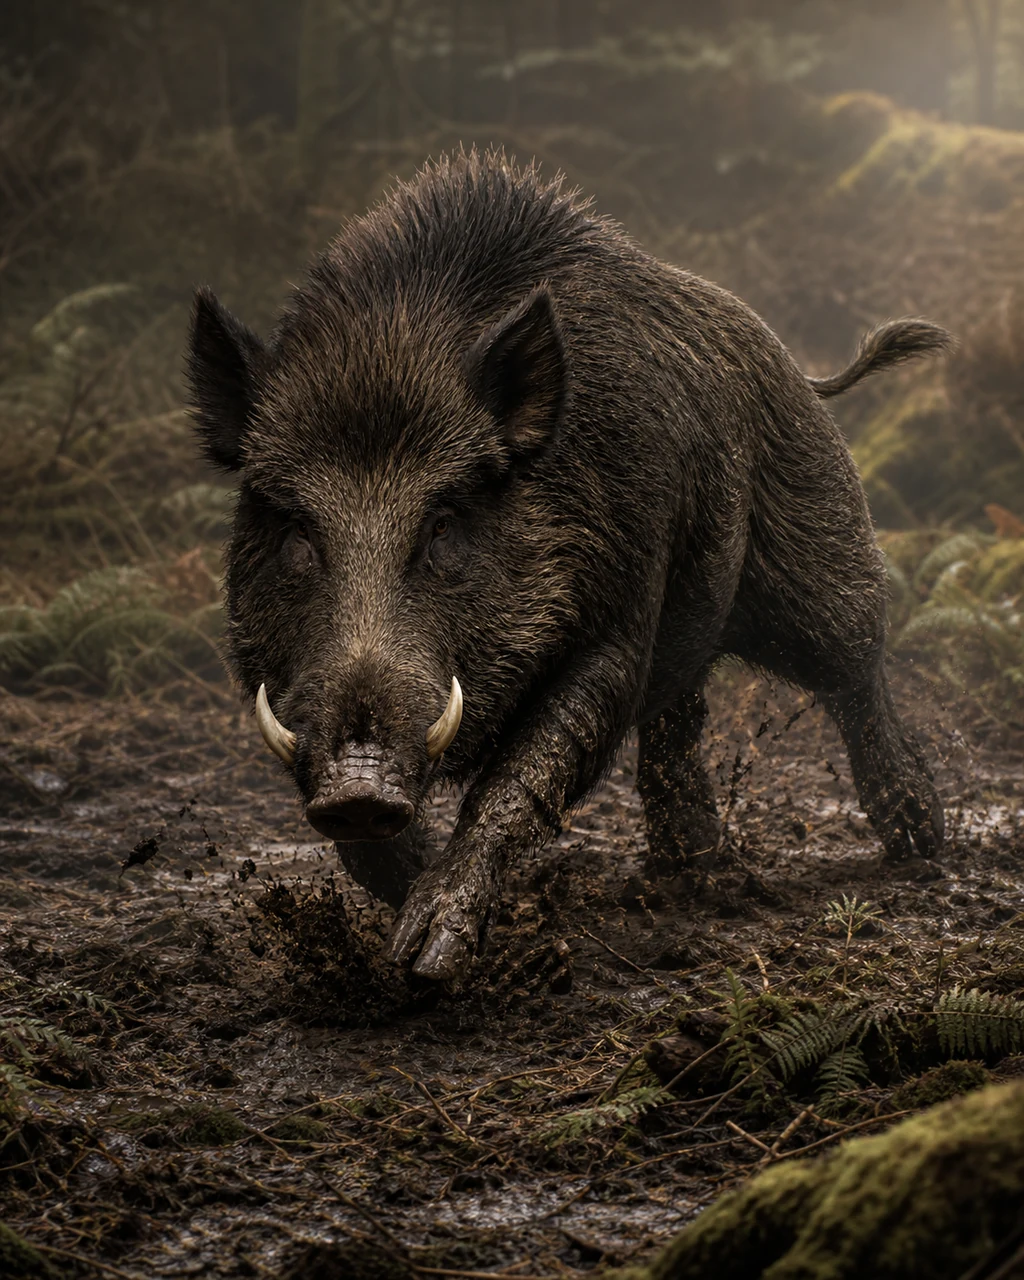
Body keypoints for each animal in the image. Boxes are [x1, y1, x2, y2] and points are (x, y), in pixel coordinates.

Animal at [186, 149, 950, 981]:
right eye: (296, 535)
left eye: (444, 526)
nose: (360, 785)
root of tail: (790, 362)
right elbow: (362, 843)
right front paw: (409, 930)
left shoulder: (618, 614)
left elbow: (526, 770)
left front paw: (432, 957)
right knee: (681, 715)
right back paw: (691, 869)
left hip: (816, 550)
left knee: (855, 666)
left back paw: (922, 840)